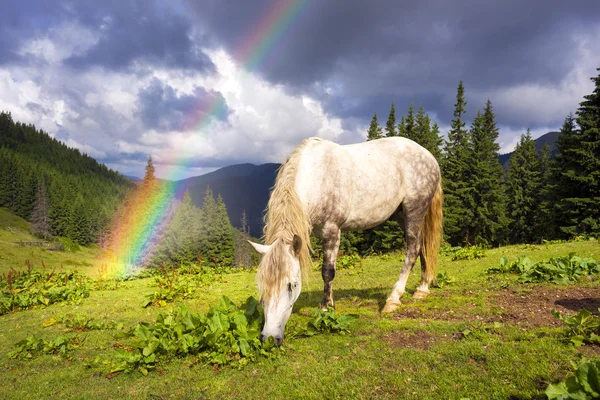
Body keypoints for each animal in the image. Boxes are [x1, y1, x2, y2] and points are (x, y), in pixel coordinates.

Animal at [246, 135, 442, 344]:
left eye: (292, 285)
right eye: (262, 285)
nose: (269, 337)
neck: (316, 177)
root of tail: (428, 156)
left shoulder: (332, 230)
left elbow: (327, 272)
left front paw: (326, 308)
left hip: (414, 211)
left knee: (412, 250)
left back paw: (393, 299)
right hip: (401, 215)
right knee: (422, 247)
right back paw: (422, 288)